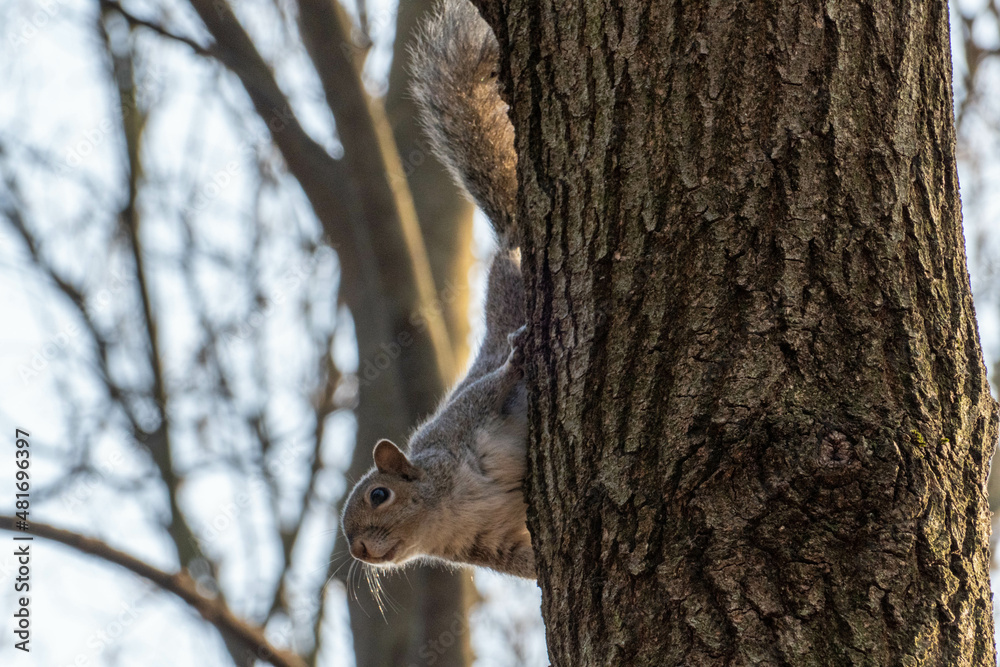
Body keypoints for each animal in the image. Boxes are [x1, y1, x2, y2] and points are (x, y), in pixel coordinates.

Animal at [339, 0, 533, 578]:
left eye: (379, 495)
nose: (358, 550)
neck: (446, 510)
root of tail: (513, 239)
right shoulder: (496, 546)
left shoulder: (467, 422)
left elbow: (493, 387)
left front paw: (515, 360)